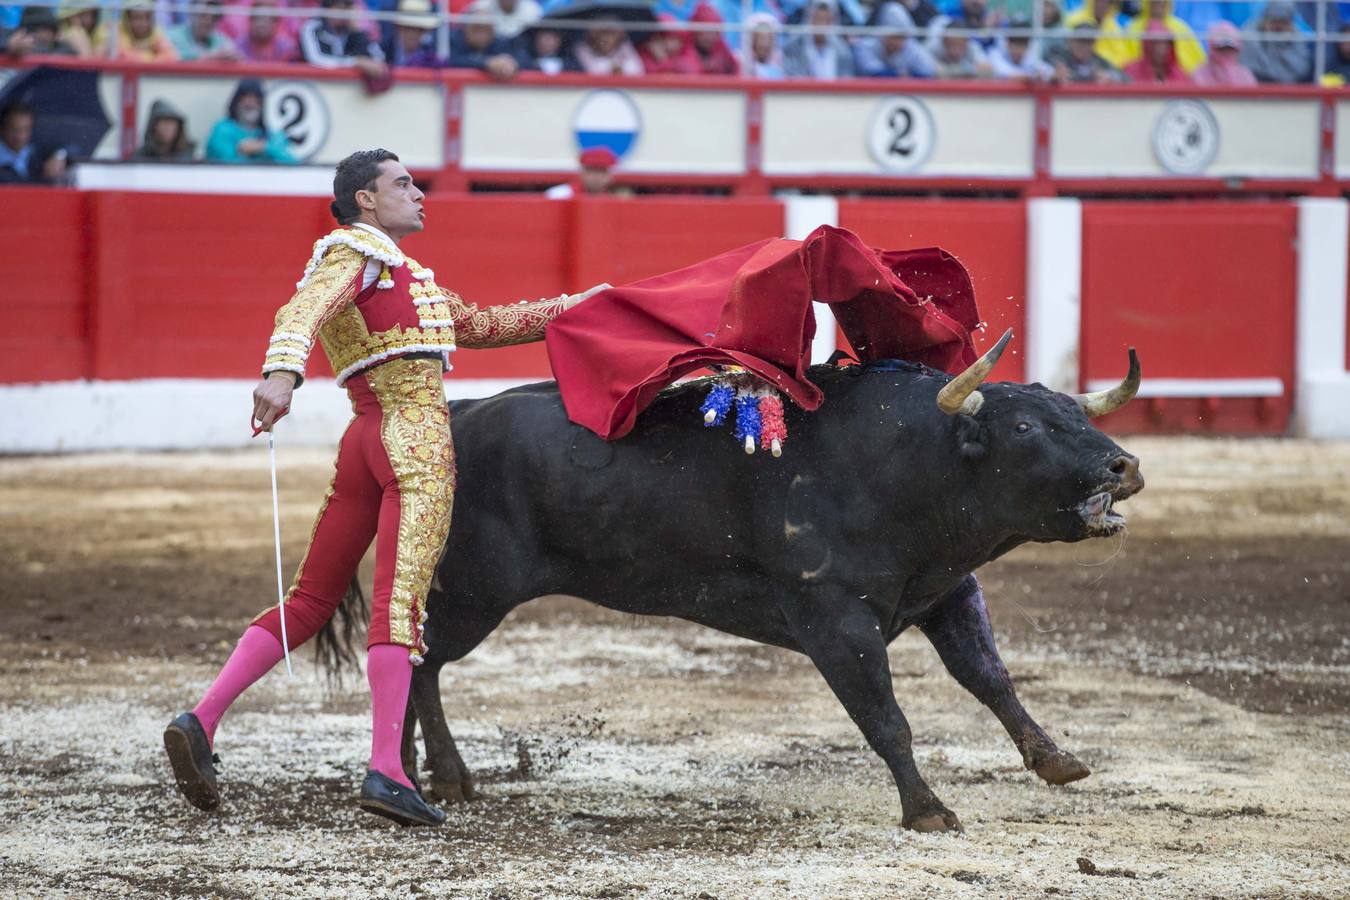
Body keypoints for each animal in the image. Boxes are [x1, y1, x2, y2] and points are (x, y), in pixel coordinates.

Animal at [332, 334, 1144, 836]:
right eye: (1025, 429)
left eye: (1072, 412)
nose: (1123, 466)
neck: (908, 463)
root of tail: (459, 416)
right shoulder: (834, 620)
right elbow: (887, 718)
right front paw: (928, 811)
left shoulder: (945, 590)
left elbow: (991, 679)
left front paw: (1058, 761)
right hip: (473, 589)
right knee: (417, 656)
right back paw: (428, 777)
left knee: (420, 661)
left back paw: (427, 775)